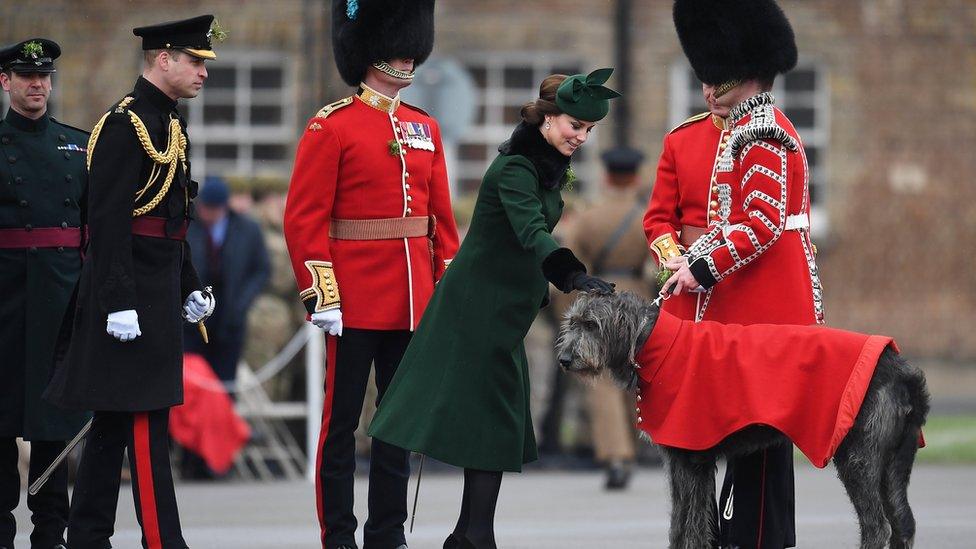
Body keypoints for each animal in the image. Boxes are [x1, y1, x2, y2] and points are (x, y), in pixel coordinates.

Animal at [556, 292, 932, 548]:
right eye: (572, 323)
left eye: (592, 325)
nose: (564, 358)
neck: (656, 345)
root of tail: (903, 370)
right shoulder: (687, 463)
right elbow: (684, 524)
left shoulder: (690, 460)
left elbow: (689, 526)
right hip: (896, 462)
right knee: (904, 523)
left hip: (858, 458)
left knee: (878, 527)